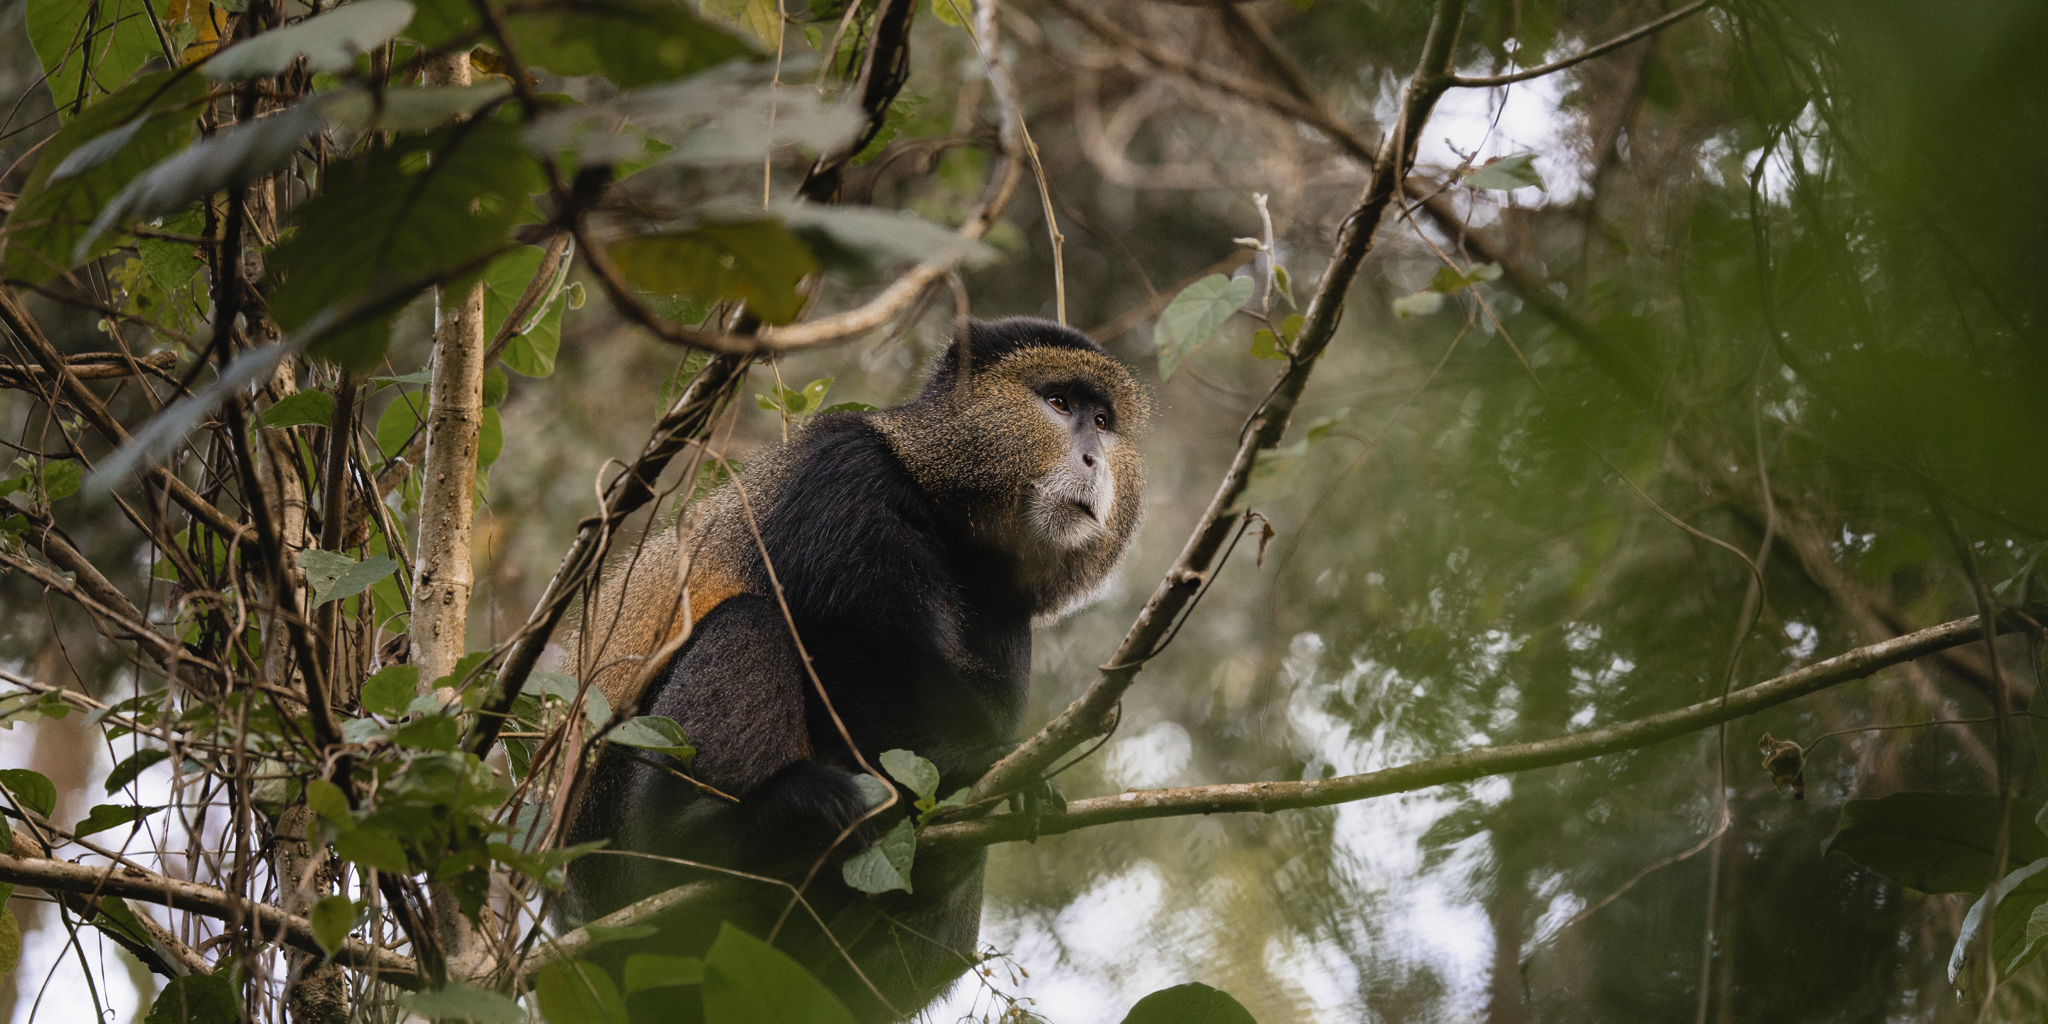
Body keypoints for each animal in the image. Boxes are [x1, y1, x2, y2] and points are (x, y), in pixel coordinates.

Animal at [558, 317, 1148, 1021]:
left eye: (1104, 421)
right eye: (1059, 403)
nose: (1093, 459)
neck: (944, 507)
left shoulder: (1009, 615)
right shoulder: (843, 469)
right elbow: (857, 647)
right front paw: (973, 767)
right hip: (614, 871)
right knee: (749, 622)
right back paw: (724, 836)